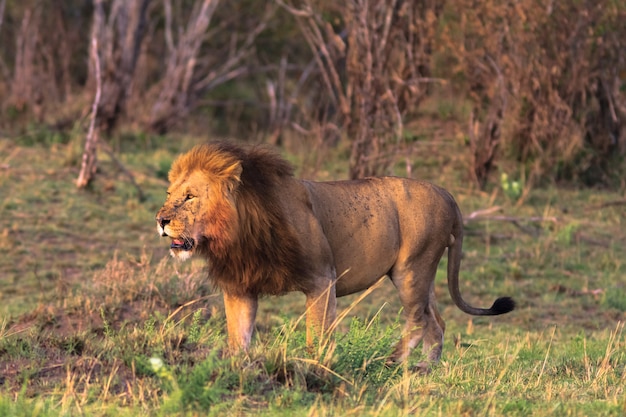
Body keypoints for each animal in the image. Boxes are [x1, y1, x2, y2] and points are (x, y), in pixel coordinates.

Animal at [156, 141, 512, 370]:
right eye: (170, 194)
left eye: (190, 197)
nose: (160, 220)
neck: (238, 233)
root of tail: (447, 194)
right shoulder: (240, 287)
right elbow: (238, 335)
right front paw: (237, 367)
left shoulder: (321, 279)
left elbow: (317, 333)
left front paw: (314, 366)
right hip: (425, 275)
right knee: (436, 322)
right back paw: (426, 369)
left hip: (412, 268)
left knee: (418, 319)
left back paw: (392, 361)